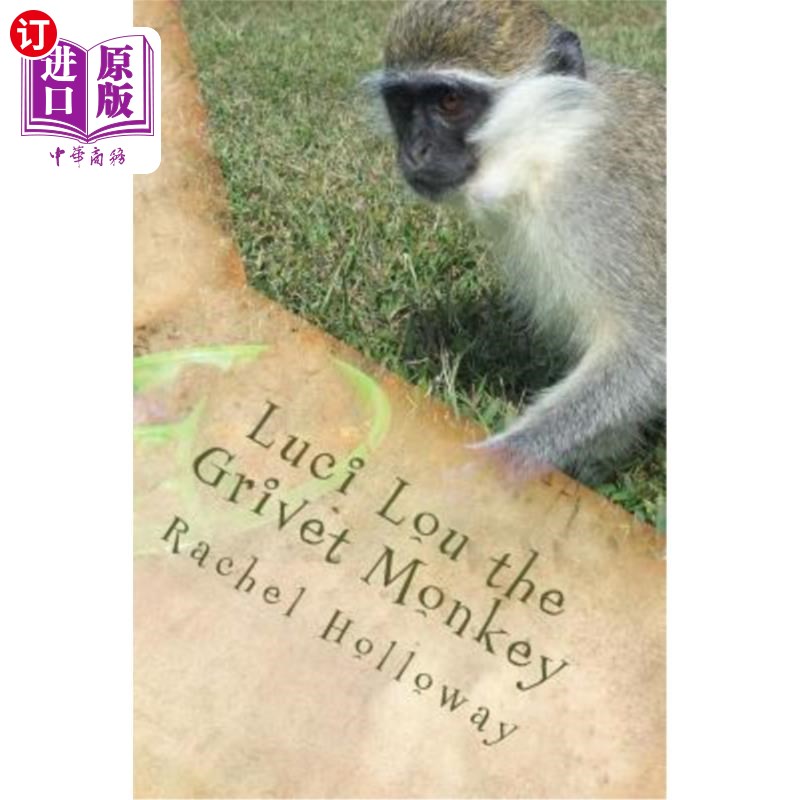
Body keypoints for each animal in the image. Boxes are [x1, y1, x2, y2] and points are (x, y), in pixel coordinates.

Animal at [365, 0, 665, 483]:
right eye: (403, 104)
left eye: (450, 101)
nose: (413, 152)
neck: (554, 145)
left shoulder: (606, 208)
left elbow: (647, 349)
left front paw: (485, 465)